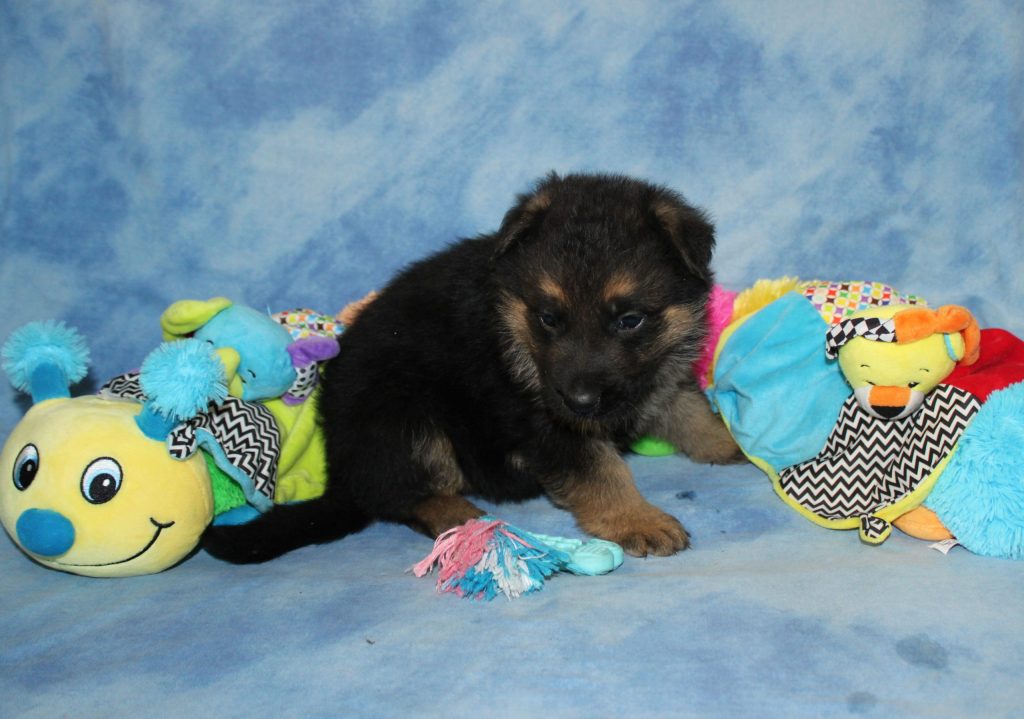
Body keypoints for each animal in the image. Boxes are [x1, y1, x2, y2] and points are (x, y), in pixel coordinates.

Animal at [202, 172, 742, 563]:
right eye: (548, 318)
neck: (512, 328)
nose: (580, 401)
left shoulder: (658, 378)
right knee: (401, 494)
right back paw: (457, 516)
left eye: (630, 320)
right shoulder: (547, 426)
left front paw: (732, 441)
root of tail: (342, 474)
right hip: (403, 412)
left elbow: (692, 412)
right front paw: (637, 519)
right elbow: (601, 471)